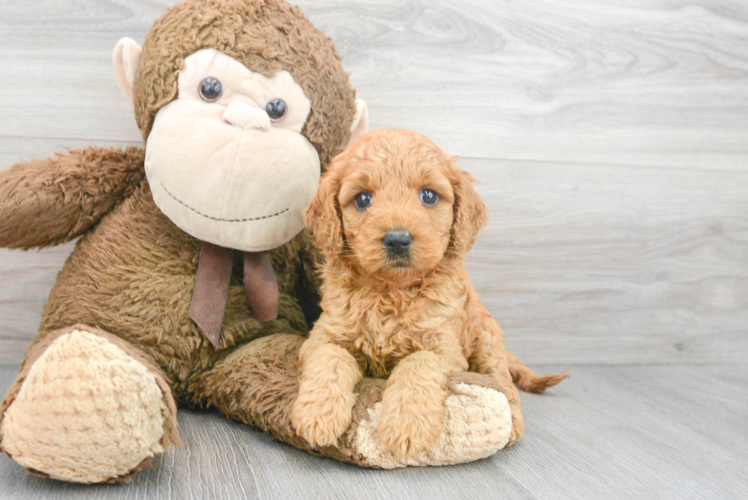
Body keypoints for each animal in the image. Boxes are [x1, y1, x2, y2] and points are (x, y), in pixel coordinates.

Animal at [292, 128, 568, 458]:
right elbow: (330, 358)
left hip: (487, 338)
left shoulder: (444, 347)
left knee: (501, 379)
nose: (397, 240)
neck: (392, 291)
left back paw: (512, 423)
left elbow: (418, 363)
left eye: (428, 195)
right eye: (362, 199)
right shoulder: (325, 334)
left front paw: (406, 426)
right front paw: (317, 415)